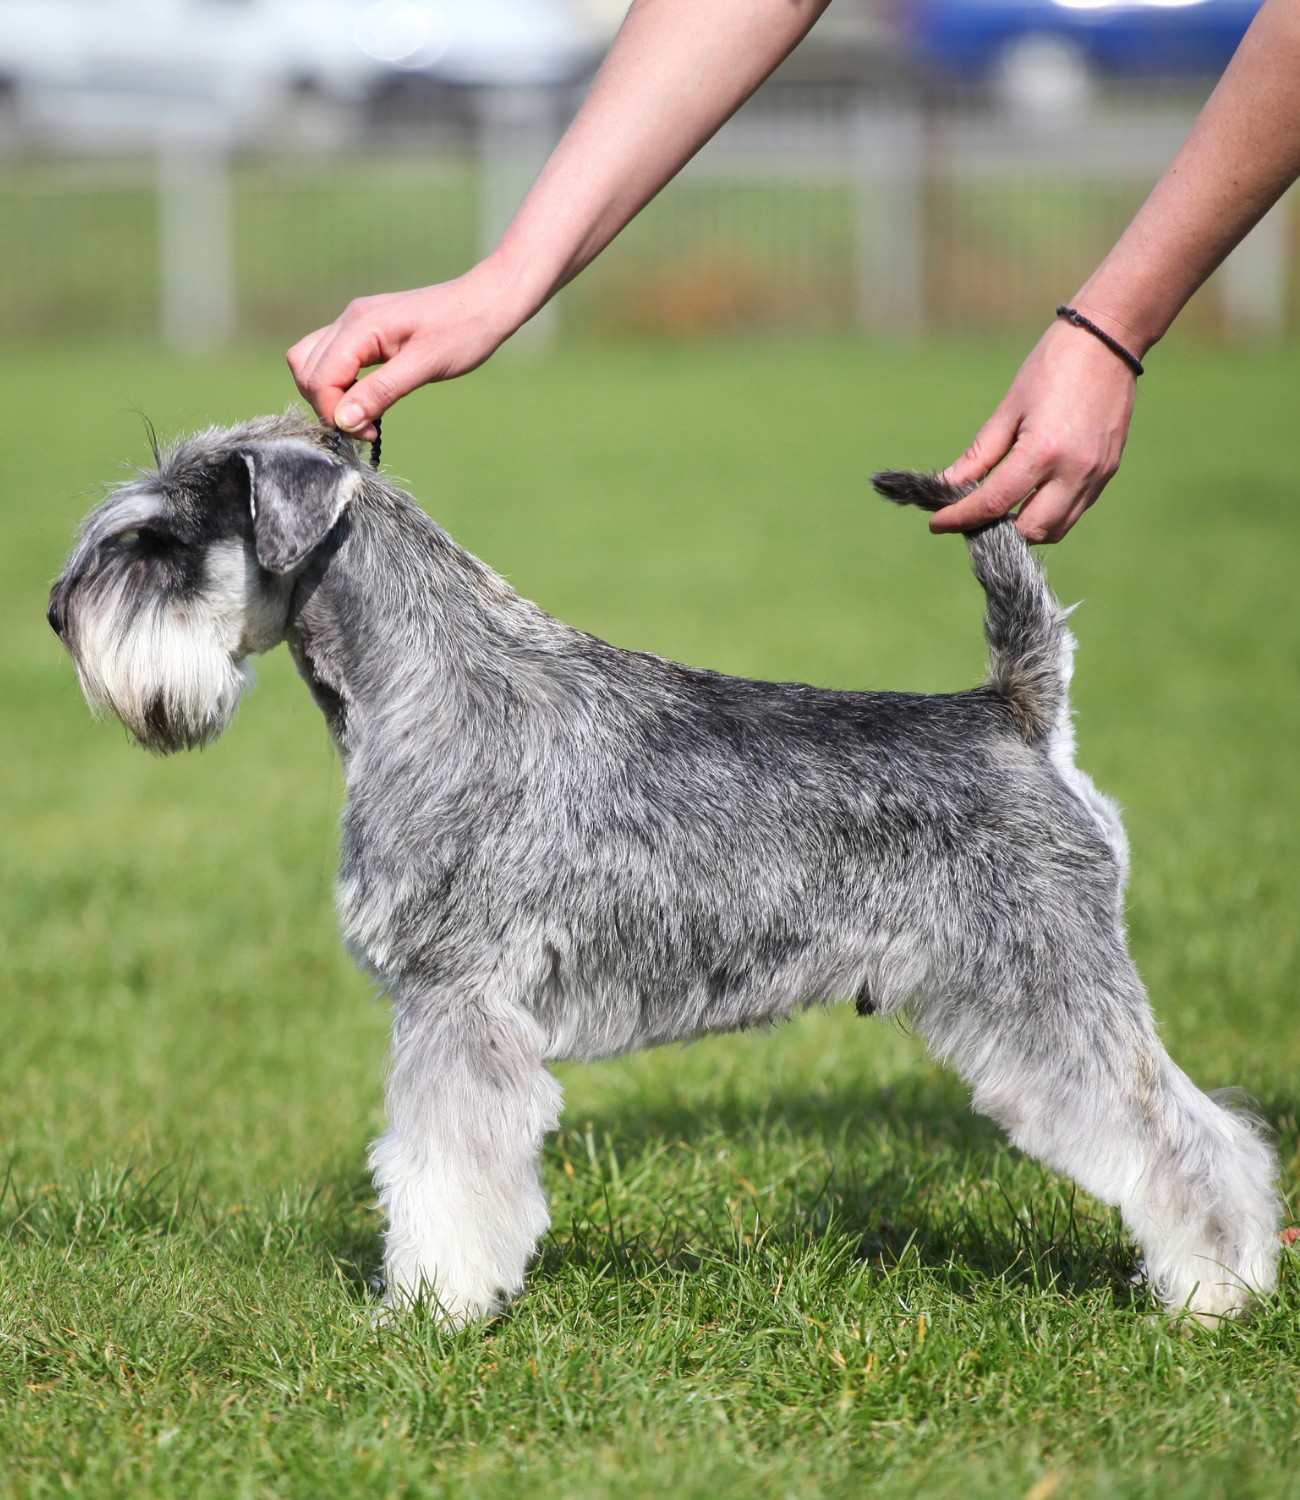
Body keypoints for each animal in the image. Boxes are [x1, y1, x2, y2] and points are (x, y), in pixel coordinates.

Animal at [48, 411, 1283, 1326]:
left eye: (162, 540)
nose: (59, 613)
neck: (425, 685)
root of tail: (1018, 714)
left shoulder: (455, 1001)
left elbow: (439, 1170)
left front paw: (431, 1311)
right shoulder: (455, 1005)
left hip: (1049, 990)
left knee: (1192, 1139)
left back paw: (1217, 1293)